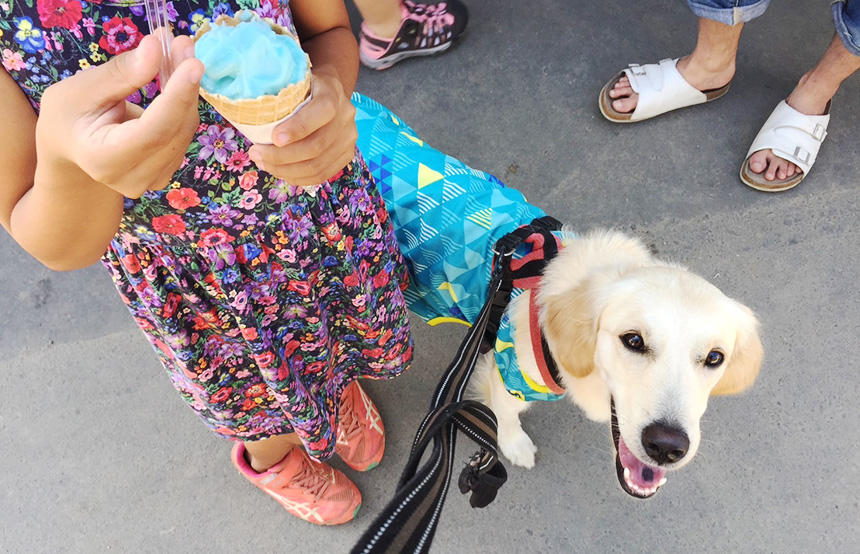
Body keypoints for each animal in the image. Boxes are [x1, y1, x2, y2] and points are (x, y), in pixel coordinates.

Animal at [466, 227, 764, 496]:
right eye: (633, 340)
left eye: (714, 357)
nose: (666, 447)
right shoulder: (509, 379)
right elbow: (503, 415)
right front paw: (515, 445)